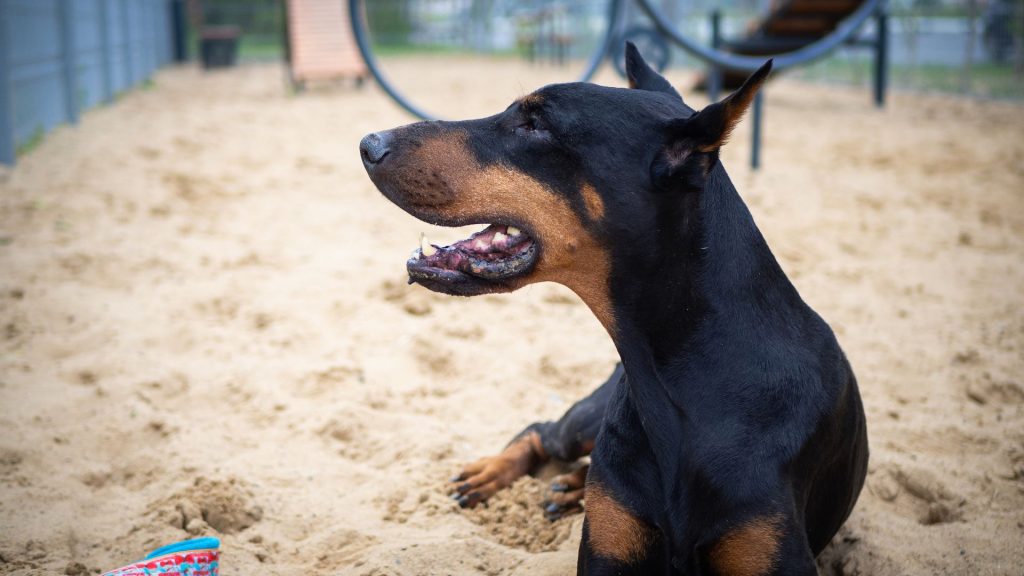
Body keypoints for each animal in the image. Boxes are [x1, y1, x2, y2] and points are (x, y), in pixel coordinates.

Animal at [358, 44, 864, 573]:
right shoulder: (609, 549)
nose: (369, 144)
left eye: (536, 124)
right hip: (587, 421)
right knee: (542, 431)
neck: (683, 377)